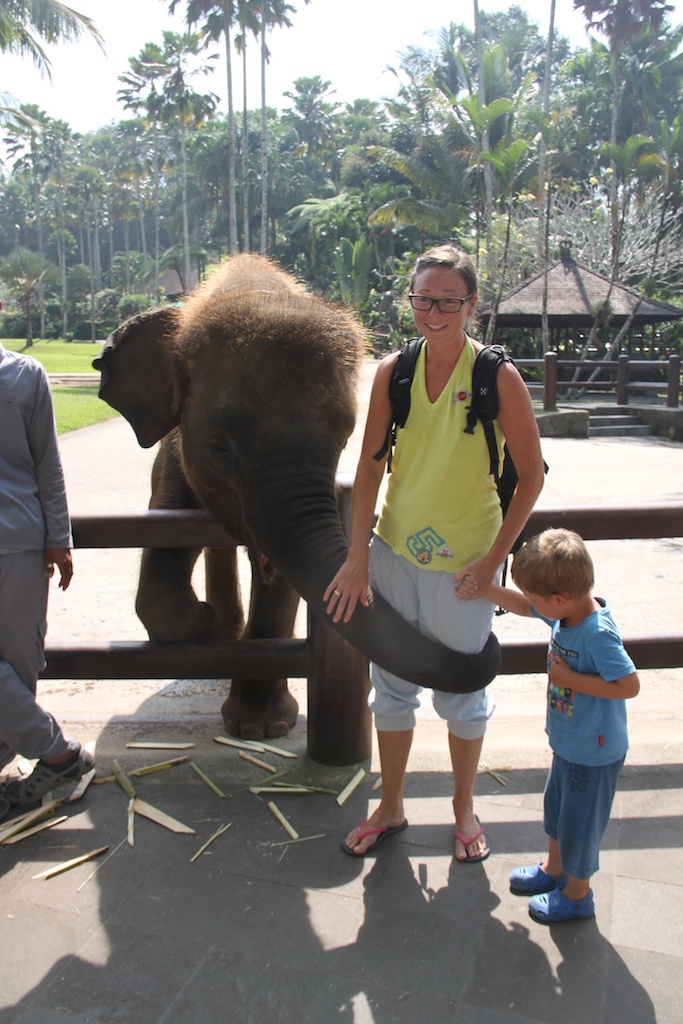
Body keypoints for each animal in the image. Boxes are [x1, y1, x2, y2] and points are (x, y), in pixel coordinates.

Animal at [93, 252, 499, 741]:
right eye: (219, 447)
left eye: (345, 438)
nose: (491, 639)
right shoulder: (174, 453)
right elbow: (164, 539)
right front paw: (205, 626)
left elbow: (284, 575)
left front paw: (259, 727)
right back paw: (223, 634)